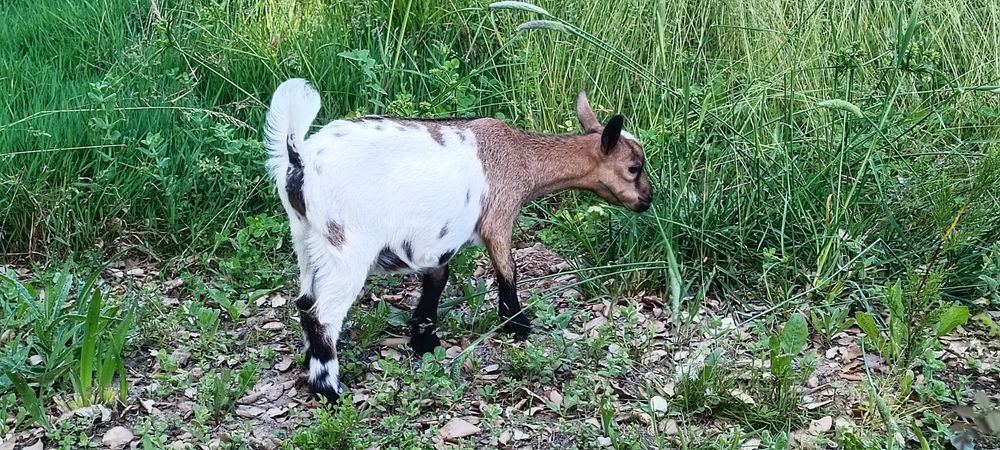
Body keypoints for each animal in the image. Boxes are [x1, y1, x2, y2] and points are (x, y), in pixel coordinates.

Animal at [264, 78, 653, 404]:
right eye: (634, 168)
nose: (647, 200)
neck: (522, 157)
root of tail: (299, 160)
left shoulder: (433, 241)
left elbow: (438, 277)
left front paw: (424, 339)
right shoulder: (498, 216)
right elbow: (507, 271)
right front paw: (518, 325)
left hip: (305, 237)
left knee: (305, 301)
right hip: (346, 245)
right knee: (323, 315)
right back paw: (329, 389)